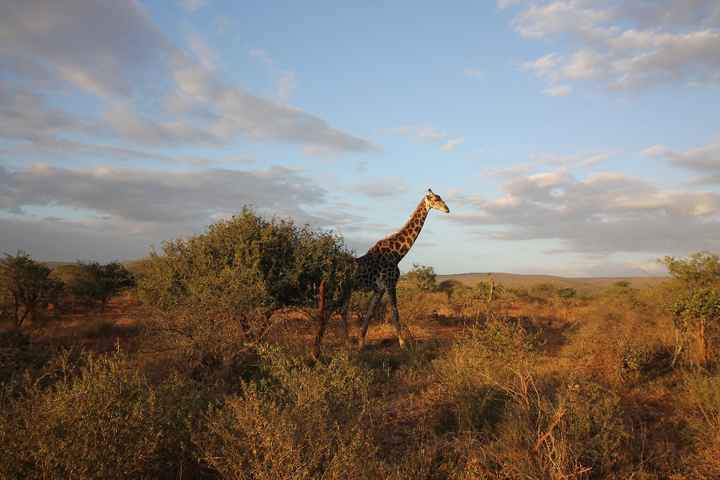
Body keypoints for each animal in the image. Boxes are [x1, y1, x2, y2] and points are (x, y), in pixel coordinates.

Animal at [314, 189, 450, 355]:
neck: (398, 254)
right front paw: (403, 345)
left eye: (440, 197)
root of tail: (329, 271)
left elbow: (370, 313)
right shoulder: (390, 284)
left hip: (347, 289)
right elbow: (395, 313)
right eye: (435, 199)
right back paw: (317, 349)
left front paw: (360, 343)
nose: (447, 209)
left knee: (341, 311)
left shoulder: (379, 289)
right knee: (329, 311)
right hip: (340, 290)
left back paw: (346, 343)